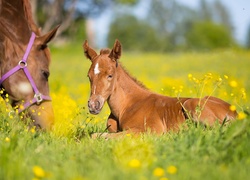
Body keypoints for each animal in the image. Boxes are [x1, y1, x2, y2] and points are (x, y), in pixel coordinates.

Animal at [83, 39, 237, 138]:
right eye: (89, 76)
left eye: (110, 75)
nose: (93, 105)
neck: (126, 106)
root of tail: (235, 112)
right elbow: (96, 135)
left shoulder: (149, 130)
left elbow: (101, 136)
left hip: (191, 104)